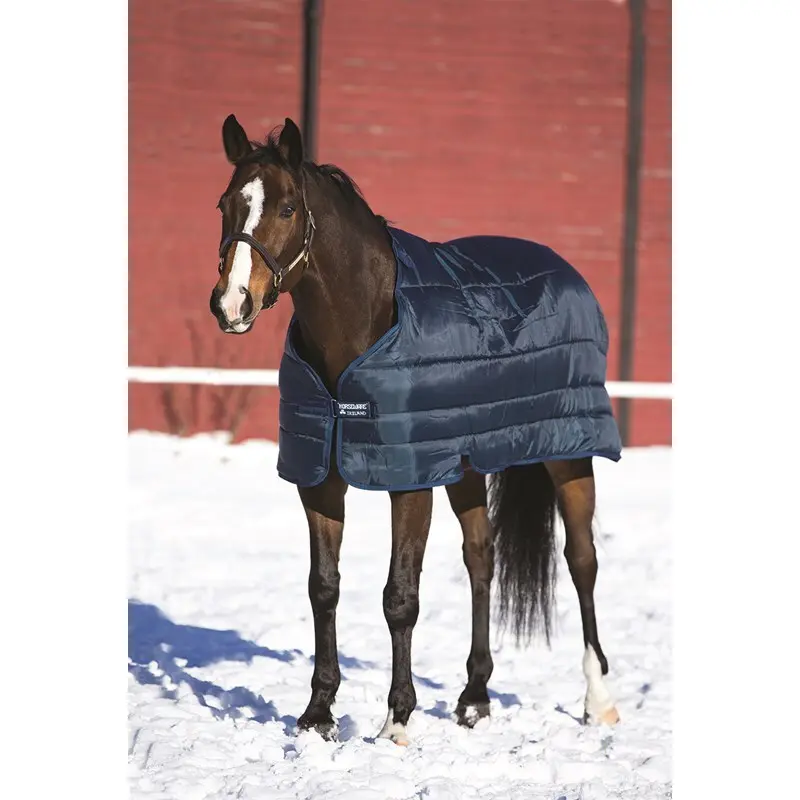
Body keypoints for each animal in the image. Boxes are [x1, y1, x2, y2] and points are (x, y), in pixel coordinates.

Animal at [209, 114, 622, 745]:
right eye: (226, 204)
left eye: (285, 208)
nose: (231, 305)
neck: (367, 322)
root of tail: (565, 268)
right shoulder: (321, 480)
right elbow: (323, 587)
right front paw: (317, 715)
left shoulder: (409, 481)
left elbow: (399, 596)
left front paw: (396, 721)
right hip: (466, 464)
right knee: (482, 558)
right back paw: (475, 697)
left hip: (570, 452)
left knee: (582, 560)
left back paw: (597, 699)